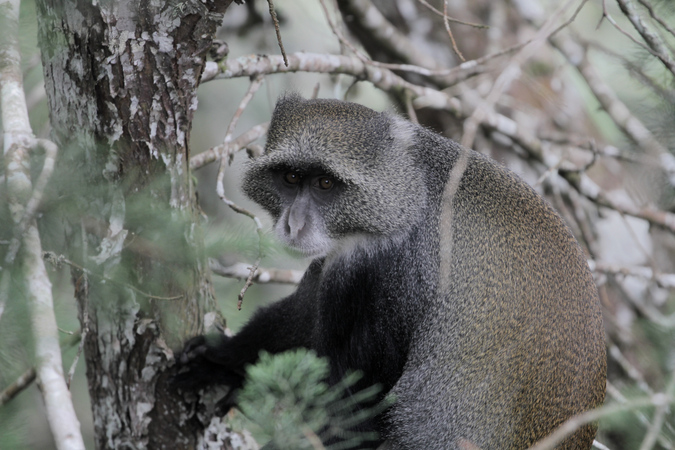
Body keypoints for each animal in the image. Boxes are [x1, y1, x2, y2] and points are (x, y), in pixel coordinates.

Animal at [177, 93, 608, 448]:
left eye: (325, 183)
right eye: (292, 177)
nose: (293, 224)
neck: (411, 191)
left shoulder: (389, 272)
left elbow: (355, 413)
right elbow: (300, 319)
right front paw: (223, 358)